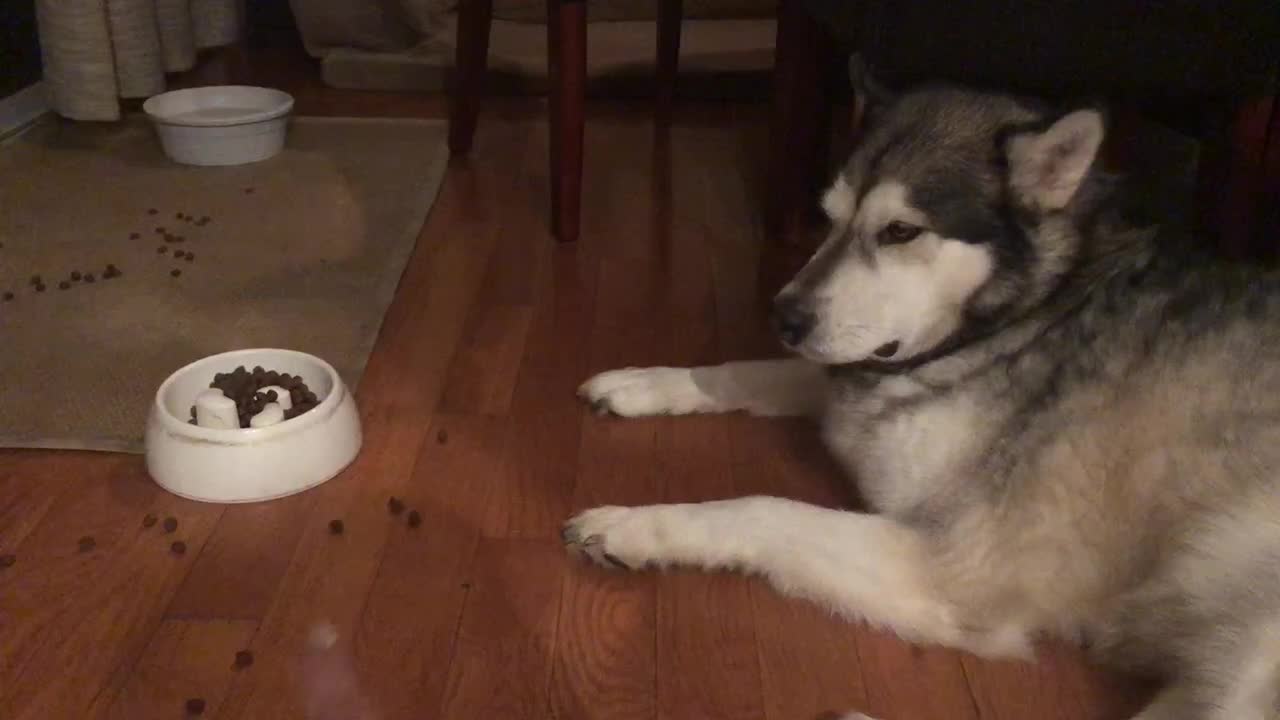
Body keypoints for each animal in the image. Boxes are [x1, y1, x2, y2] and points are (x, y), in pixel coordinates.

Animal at [565, 63, 1280, 717]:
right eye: (827, 218)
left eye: (900, 231)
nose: (782, 317)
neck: (1027, 315)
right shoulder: (858, 370)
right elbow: (750, 369)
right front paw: (649, 382)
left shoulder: (954, 567)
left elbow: (762, 508)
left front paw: (636, 526)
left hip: (1253, 660)